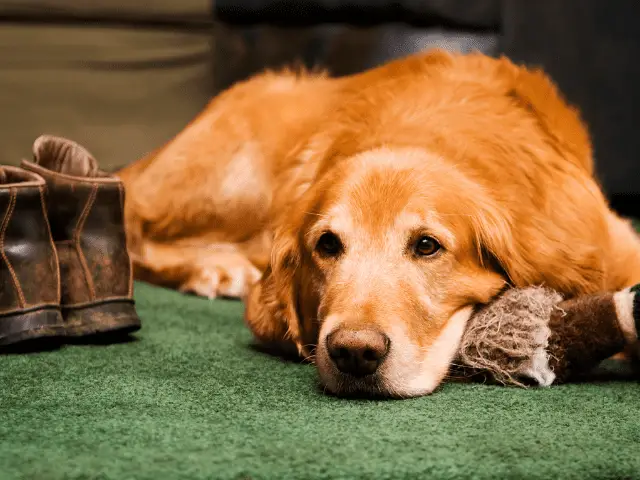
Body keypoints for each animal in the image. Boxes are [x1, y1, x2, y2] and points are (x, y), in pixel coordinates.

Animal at [117, 49, 640, 398]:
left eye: (427, 245)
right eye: (328, 245)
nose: (354, 352)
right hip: (235, 175)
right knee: (133, 221)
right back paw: (215, 270)